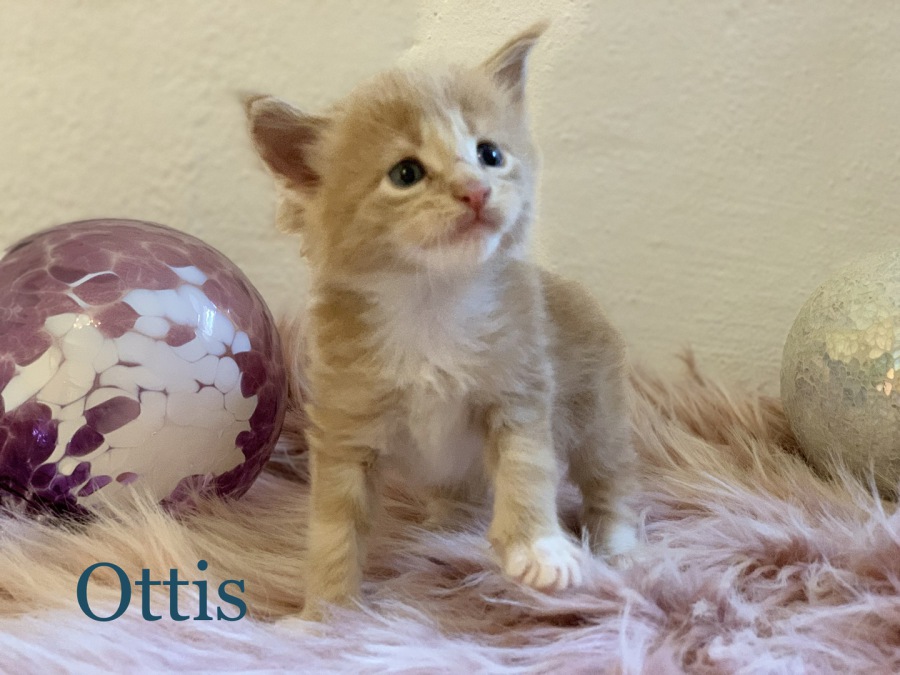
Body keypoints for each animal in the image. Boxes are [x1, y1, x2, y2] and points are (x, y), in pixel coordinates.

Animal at [244, 22, 637, 621]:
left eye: (489, 154)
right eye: (405, 174)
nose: (476, 190)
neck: (432, 301)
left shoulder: (520, 389)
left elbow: (527, 470)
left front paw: (538, 549)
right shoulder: (345, 422)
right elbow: (334, 528)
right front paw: (325, 615)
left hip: (598, 411)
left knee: (608, 480)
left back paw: (616, 545)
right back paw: (447, 526)